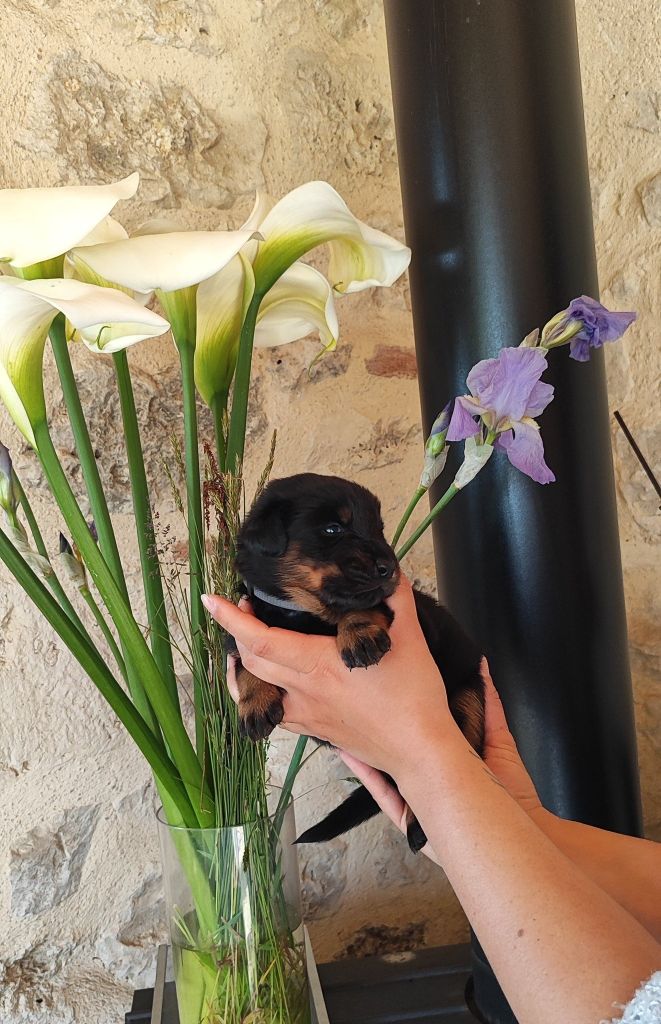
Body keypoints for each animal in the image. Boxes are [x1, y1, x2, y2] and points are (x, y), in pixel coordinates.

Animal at [230, 473, 485, 853]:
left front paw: (359, 635)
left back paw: (419, 824)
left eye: (379, 528)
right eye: (333, 529)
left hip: (468, 698)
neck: (301, 611)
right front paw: (255, 704)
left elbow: (363, 604)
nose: (389, 569)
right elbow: (244, 662)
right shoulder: (244, 628)